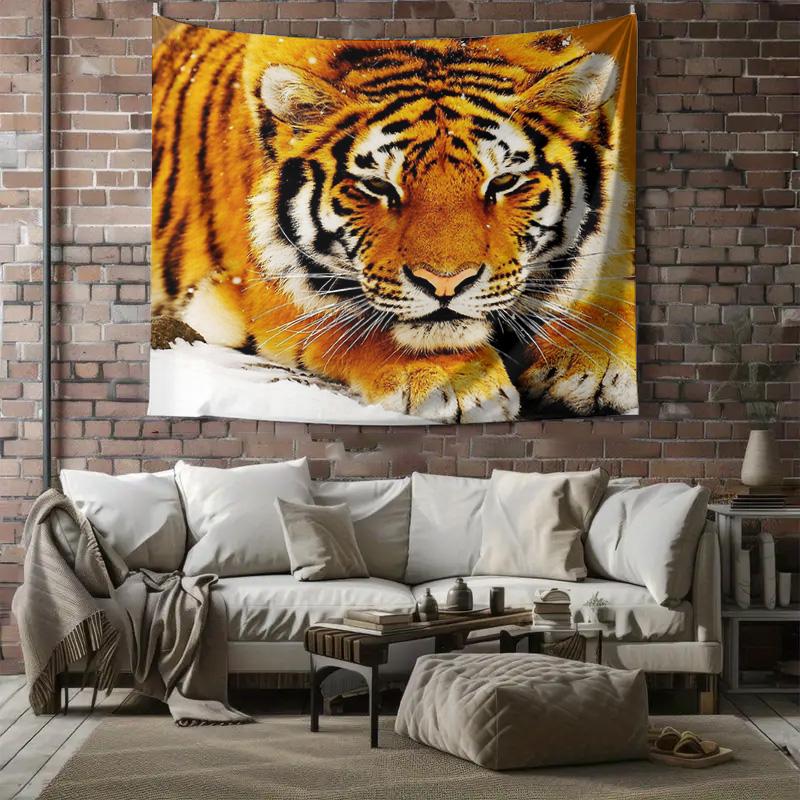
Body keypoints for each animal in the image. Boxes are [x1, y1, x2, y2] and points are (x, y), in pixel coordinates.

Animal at [152, 17, 637, 423]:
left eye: (503, 182)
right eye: (379, 187)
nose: (445, 284)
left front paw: (596, 362)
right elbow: (353, 324)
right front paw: (455, 383)